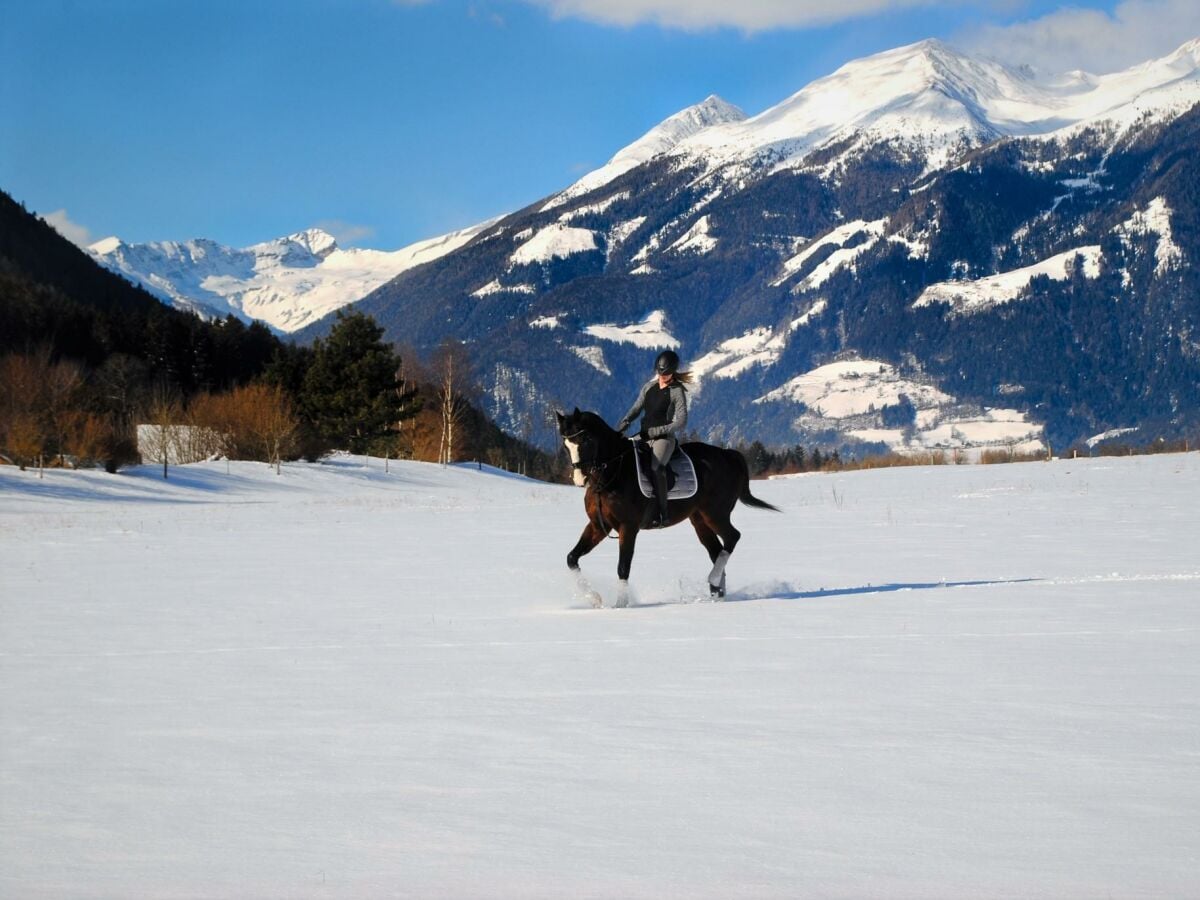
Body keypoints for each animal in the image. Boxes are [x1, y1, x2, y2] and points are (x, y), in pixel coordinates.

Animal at [556, 408, 782, 607]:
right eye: (566, 445)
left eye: (585, 440)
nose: (579, 479)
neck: (612, 475)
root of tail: (727, 454)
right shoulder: (597, 526)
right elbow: (571, 558)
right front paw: (594, 598)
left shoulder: (628, 527)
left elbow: (623, 567)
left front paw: (620, 605)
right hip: (699, 520)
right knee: (717, 551)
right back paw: (716, 593)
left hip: (716, 514)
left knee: (733, 537)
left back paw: (713, 580)